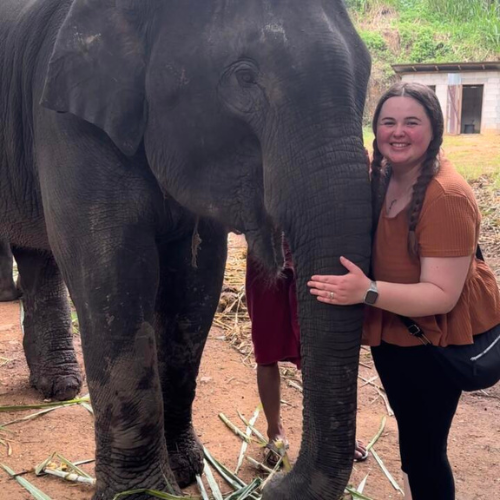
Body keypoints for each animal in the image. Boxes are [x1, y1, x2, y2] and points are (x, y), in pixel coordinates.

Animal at [0, 0, 372, 500]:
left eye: (366, 70)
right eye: (244, 77)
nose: (274, 481)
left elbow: (195, 283)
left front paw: (187, 470)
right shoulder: (64, 120)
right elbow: (112, 272)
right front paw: (143, 495)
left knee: (36, 255)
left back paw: (59, 386)